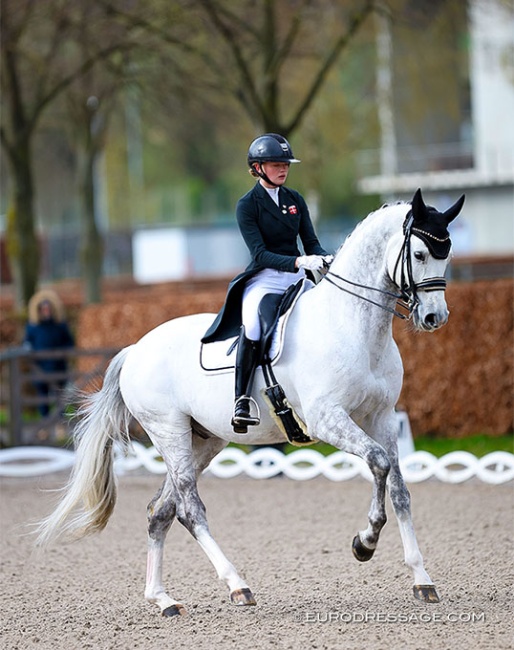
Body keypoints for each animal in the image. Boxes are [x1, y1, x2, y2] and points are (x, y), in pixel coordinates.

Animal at [34, 186, 462, 612]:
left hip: (202, 440)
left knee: (161, 511)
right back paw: (236, 585)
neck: (351, 324)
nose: (434, 318)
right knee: (190, 510)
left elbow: (399, 490)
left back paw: (163, 598)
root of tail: (135, 349)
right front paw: (365, 543)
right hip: (168, 431)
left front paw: (422, 579)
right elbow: (377, 463)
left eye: (447, 254)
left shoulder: (384, 418)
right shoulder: (327, 418)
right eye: (419, 254)